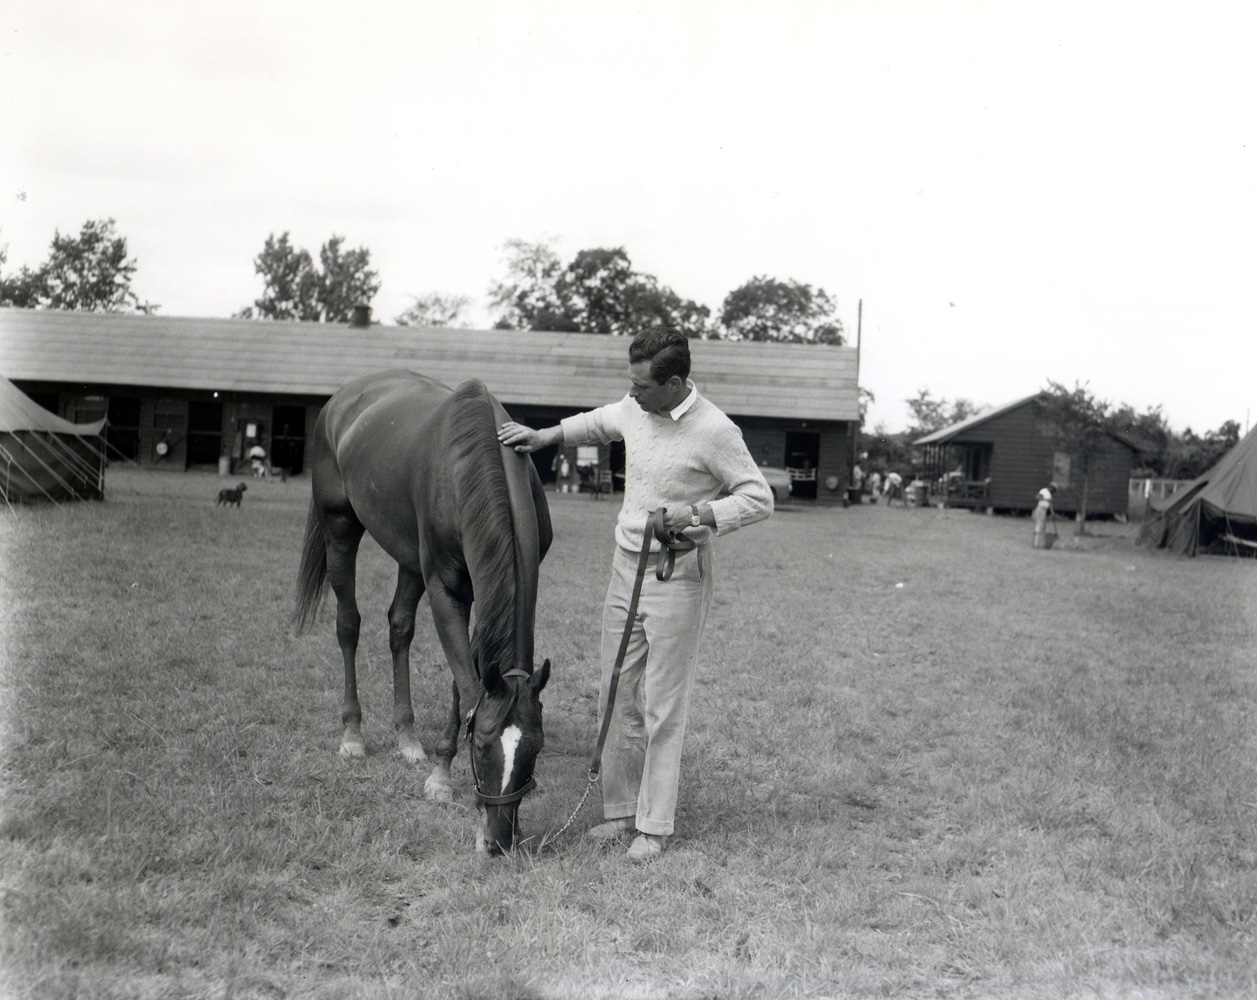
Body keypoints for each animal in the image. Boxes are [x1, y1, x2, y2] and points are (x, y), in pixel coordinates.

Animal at [296, 371, 553, 854]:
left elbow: (463, 680)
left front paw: (436, 764)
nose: (498, 840)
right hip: (340, 528)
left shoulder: (477, 593)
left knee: (399, 628)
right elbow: (468, 686)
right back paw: (353, 734)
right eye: (482, 749)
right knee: (348, 625)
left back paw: (408, 737)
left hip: (409, 558)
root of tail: (342, 400)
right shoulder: (446, 591)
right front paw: (441, 777)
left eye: (535, 750)